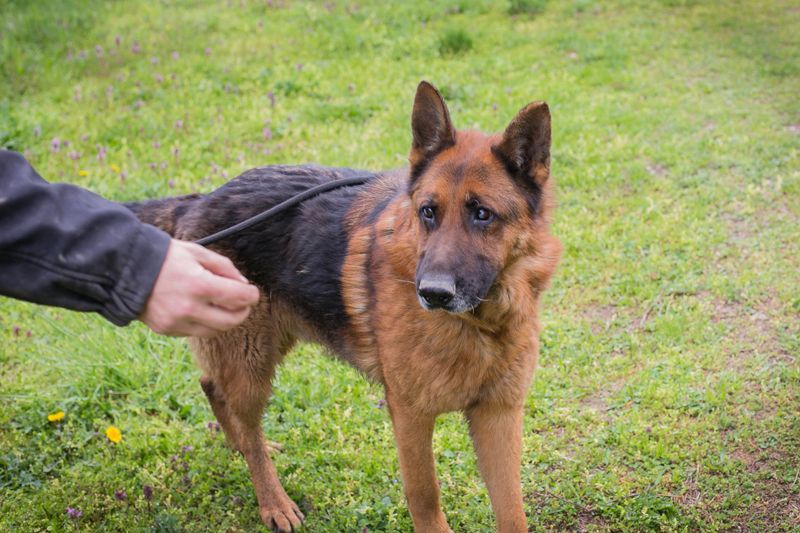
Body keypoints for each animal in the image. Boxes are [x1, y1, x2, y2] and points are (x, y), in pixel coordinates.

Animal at [128, 81, 561, 532]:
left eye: (482, 214)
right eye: (428, 211)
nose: (433, 294)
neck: (481, 325)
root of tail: (200, 201)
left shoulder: (499, 416)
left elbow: (512, 510)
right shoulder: (411, 417)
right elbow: (425, 497)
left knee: (212, 386)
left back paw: (240, 447)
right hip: (251, 361)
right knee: (242, 417)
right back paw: (273, 500)